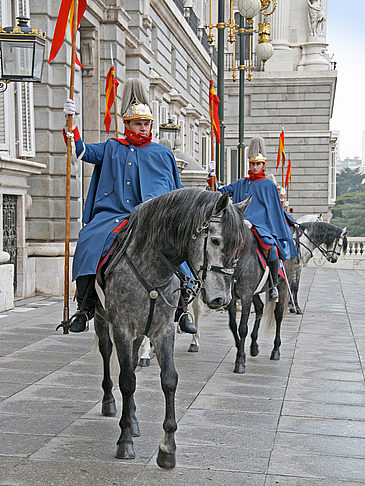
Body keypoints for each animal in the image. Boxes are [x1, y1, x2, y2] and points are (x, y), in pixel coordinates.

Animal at [92, 188, 249, 468]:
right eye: (216, 241)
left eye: (240, 246)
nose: (222, 299)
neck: (152, 269)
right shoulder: (122, 328)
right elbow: (127, 382)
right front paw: (124, 441)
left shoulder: (162, 330)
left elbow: (168, 380)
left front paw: (167, 447)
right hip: (103, 320)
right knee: (107, 353)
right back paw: (110, 403)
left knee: (133, 361)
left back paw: (133, 419)